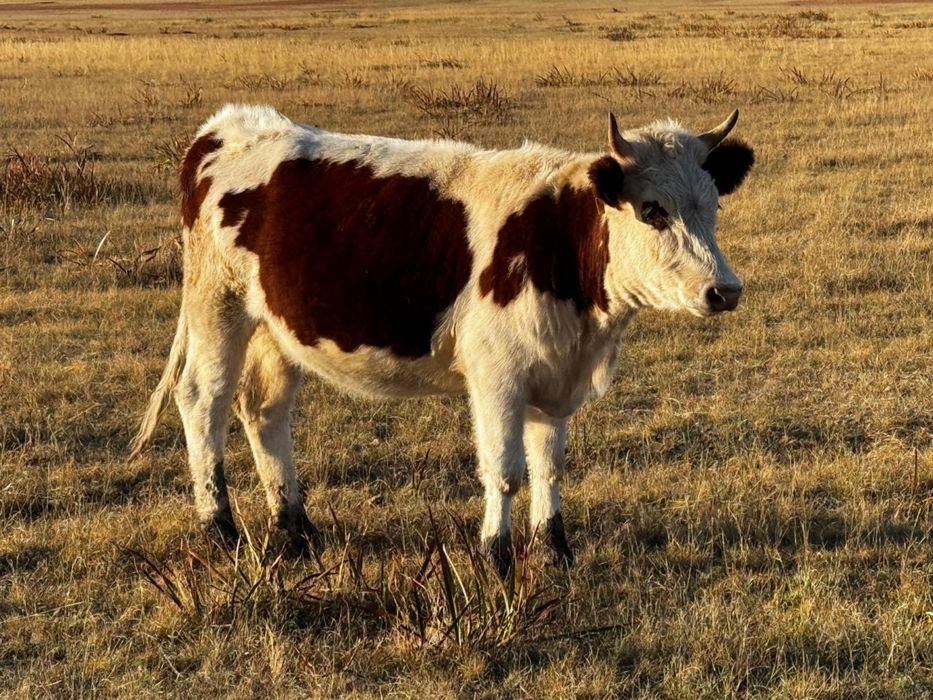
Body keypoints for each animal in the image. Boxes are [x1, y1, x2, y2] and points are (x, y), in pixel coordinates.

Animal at [130, 104, 754, 576]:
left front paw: (554, 552)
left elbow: (549, 467)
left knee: (264, 411)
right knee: (204, 402)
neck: (557, 239)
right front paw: (496, 557)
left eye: (713, 205)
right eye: (653, 210)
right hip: (218, 304)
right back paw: (220, 528)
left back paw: (297, 530)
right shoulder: (497, 375)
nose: (724, 291)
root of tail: (226, 126)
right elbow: (505, 469)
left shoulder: (553, 371)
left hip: (275, 327)